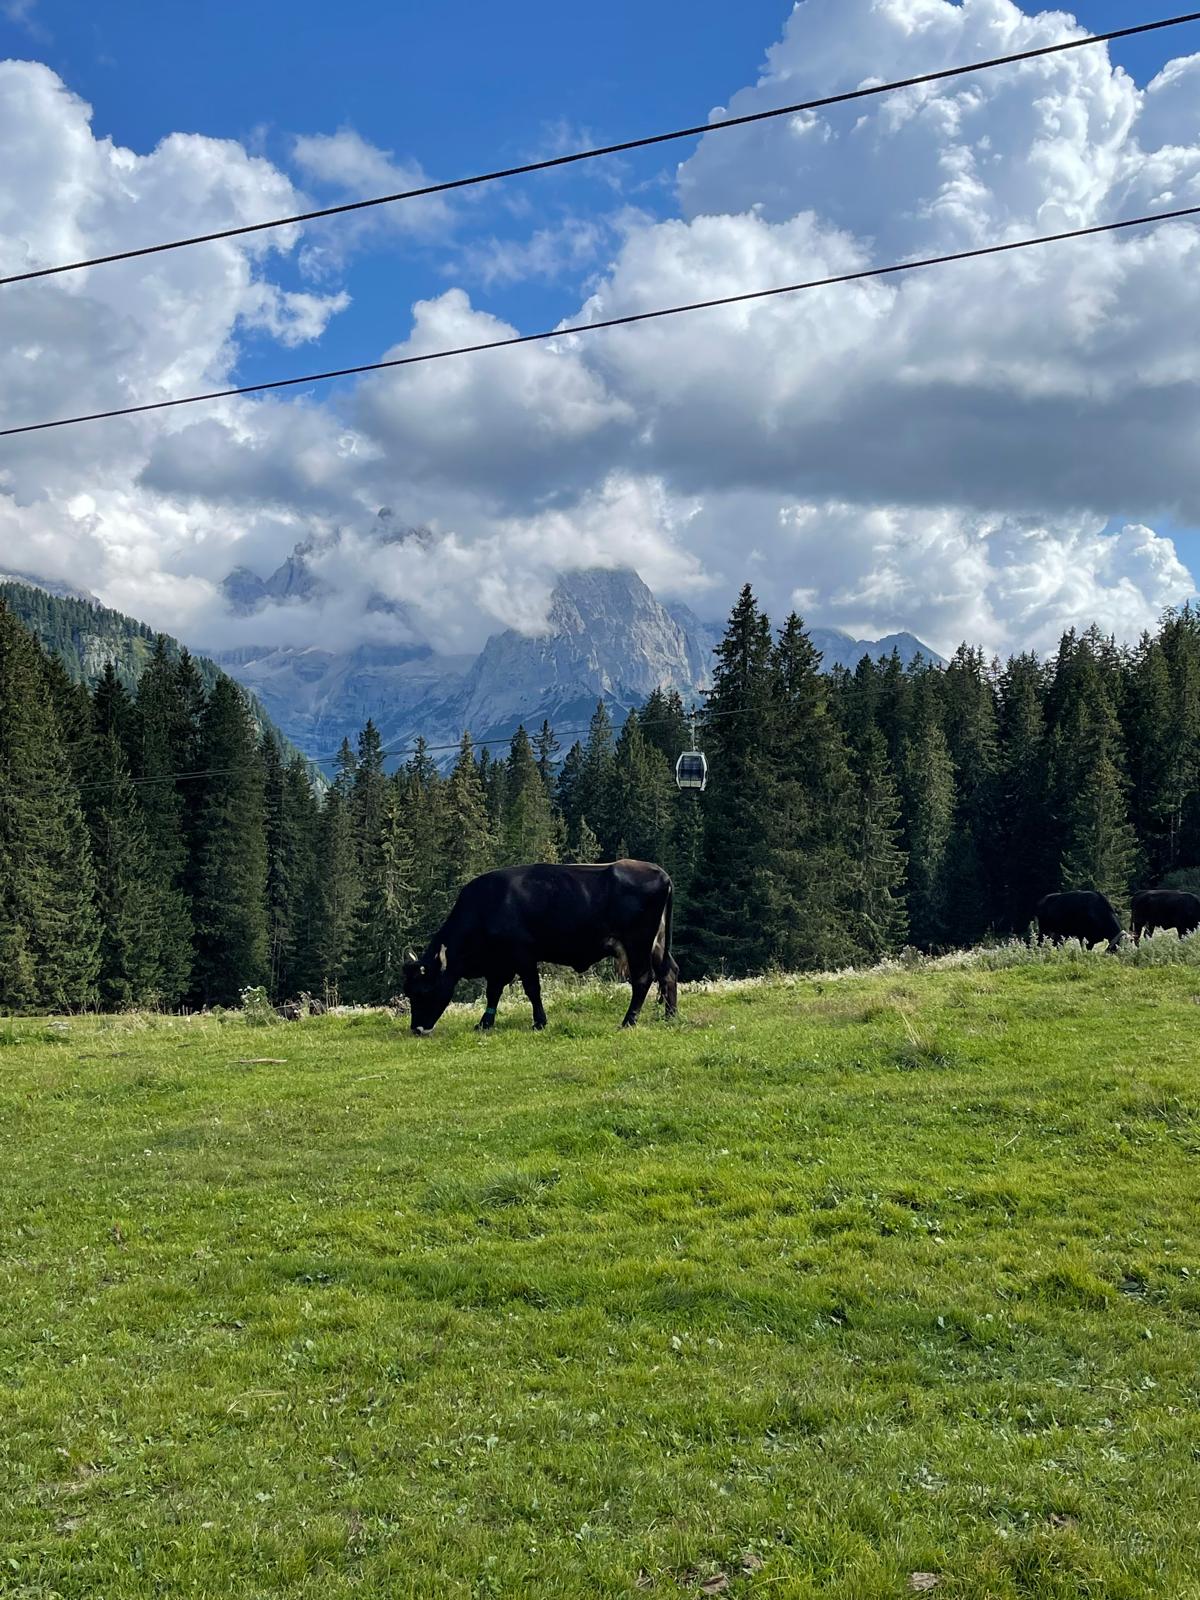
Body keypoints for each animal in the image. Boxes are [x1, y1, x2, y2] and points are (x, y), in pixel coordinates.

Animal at [402, 859, 679, 1035]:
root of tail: (662, 874)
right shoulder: (499, 964)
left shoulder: (522, 955)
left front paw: (539, 1023)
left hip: (638, 943)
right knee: (669, 972)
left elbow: (532, 989)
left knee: (643, 978)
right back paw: (670, 1016)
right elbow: (493, 992)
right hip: (656, 943)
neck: (486, 906)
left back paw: (628, 1021)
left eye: (424, 990)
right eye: (408, 991)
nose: (417, 1029)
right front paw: (484, 1023)